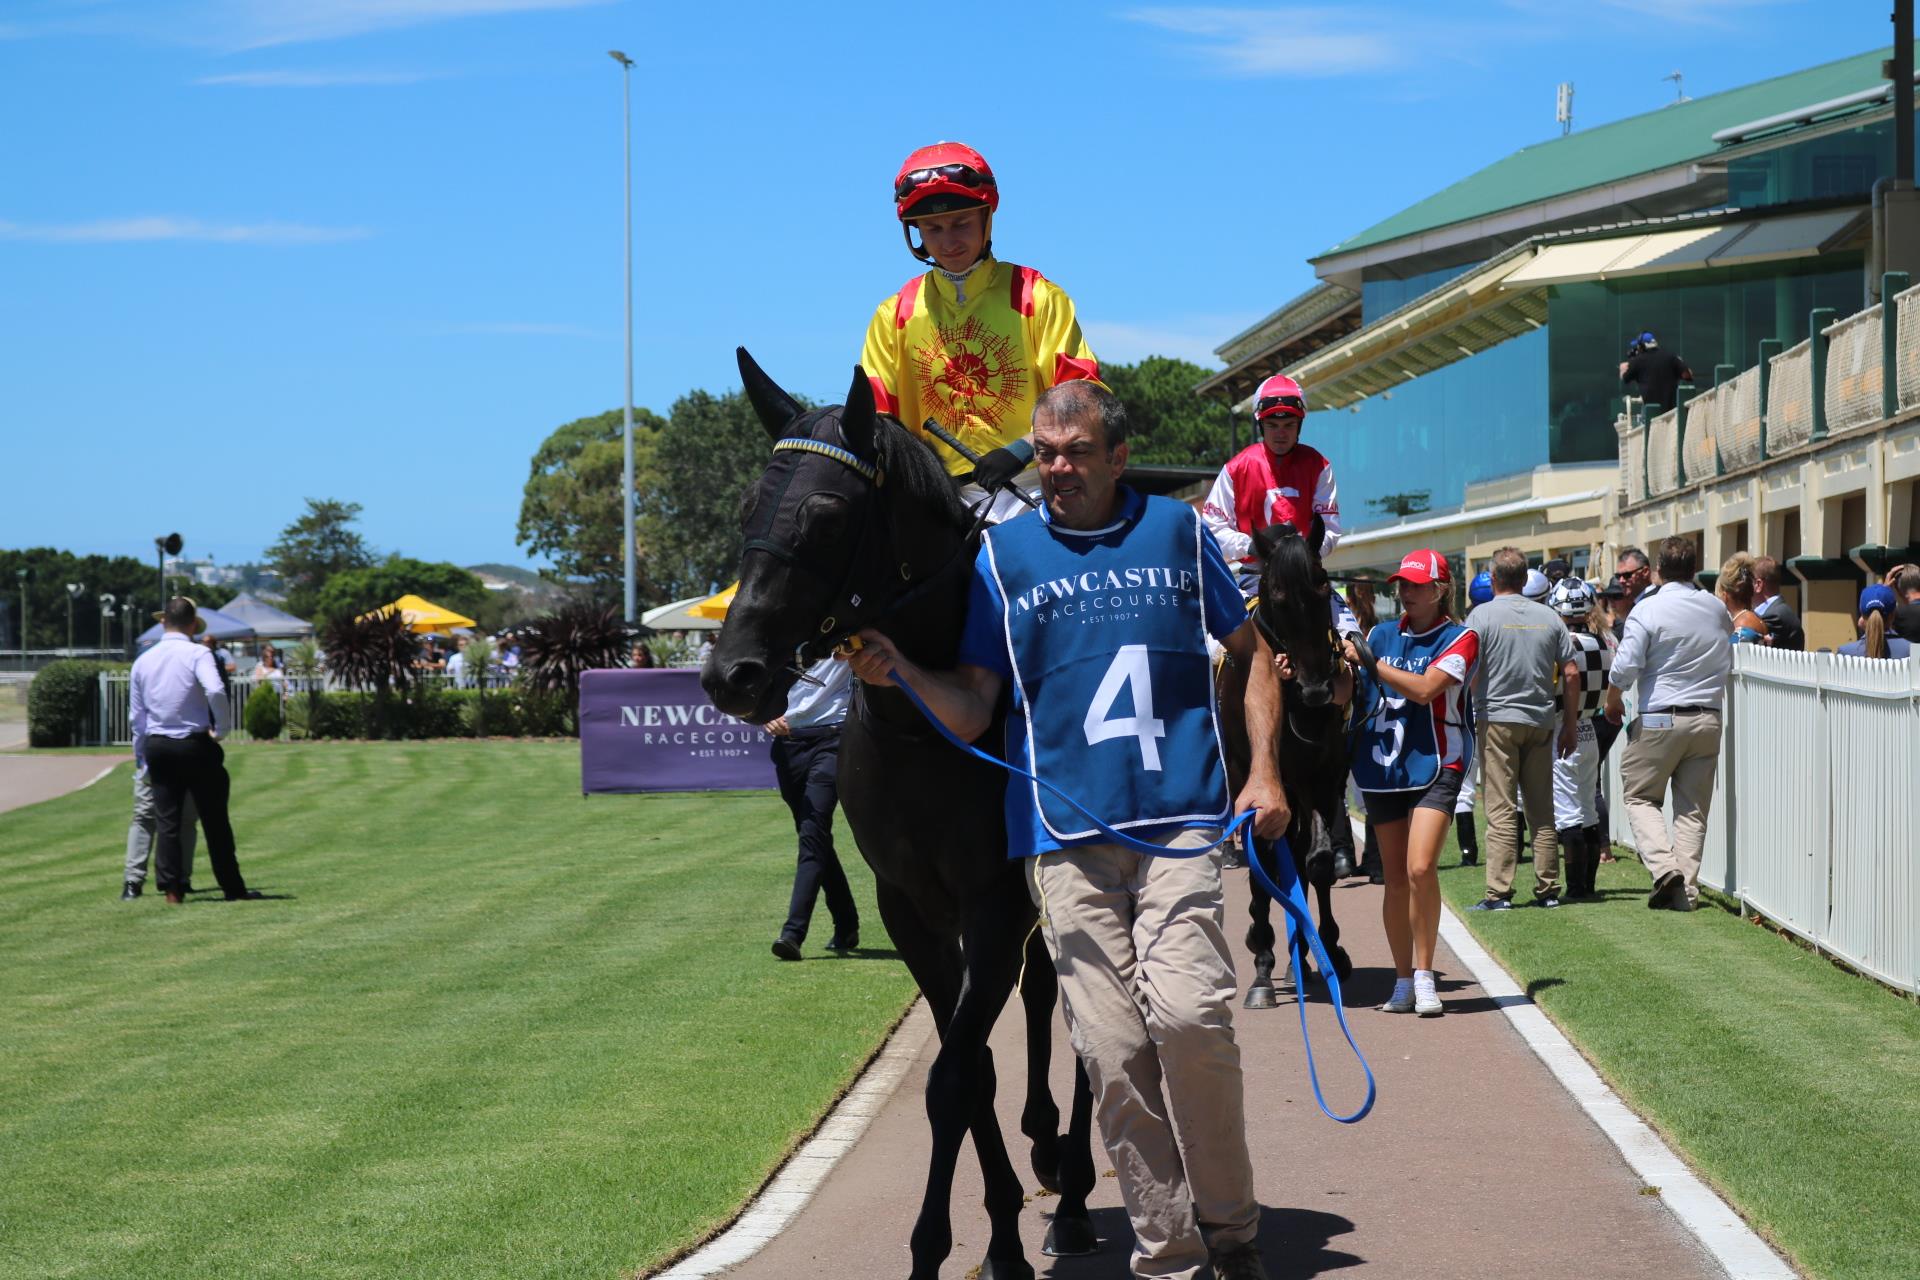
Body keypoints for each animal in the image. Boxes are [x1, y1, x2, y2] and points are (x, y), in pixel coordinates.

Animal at [706, 351, 1098, 1280]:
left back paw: (1075, 1190)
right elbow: (973, 1063)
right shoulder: (913, 906)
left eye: (825, 515)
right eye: (746, 508)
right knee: (1043, 994)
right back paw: (1045, 1147)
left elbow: (952, 1075)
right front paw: (998, 1234)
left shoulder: (993, 902)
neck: (928, 728)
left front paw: (936, 1244)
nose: (732, 674)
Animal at [1221, 521, 1359, 1013]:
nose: (1318, 690)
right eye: (1277, 596)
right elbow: (1263, 862)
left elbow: (1317, 863)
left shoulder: (1324, 774)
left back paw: (1302, 954)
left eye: (1323, 586)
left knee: (1299, 858)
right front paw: (1261, 963)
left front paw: (1331, 947)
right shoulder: (1252, 778)